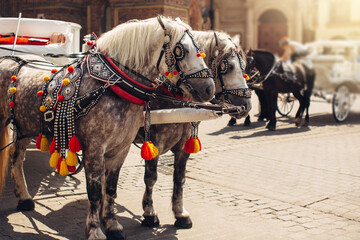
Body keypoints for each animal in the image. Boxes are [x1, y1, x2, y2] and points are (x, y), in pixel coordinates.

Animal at [0, 16, 214, 240]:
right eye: (181, 50)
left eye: (200, 50)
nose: (209, 88)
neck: (112, 85)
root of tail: (10, 58)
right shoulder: (95, 148)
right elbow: (95, 191)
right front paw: (95, 230)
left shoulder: (121, 148)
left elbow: (111, 186)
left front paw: (112, 225)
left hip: (25, 125)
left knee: (16, 157)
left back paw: (24, 198)